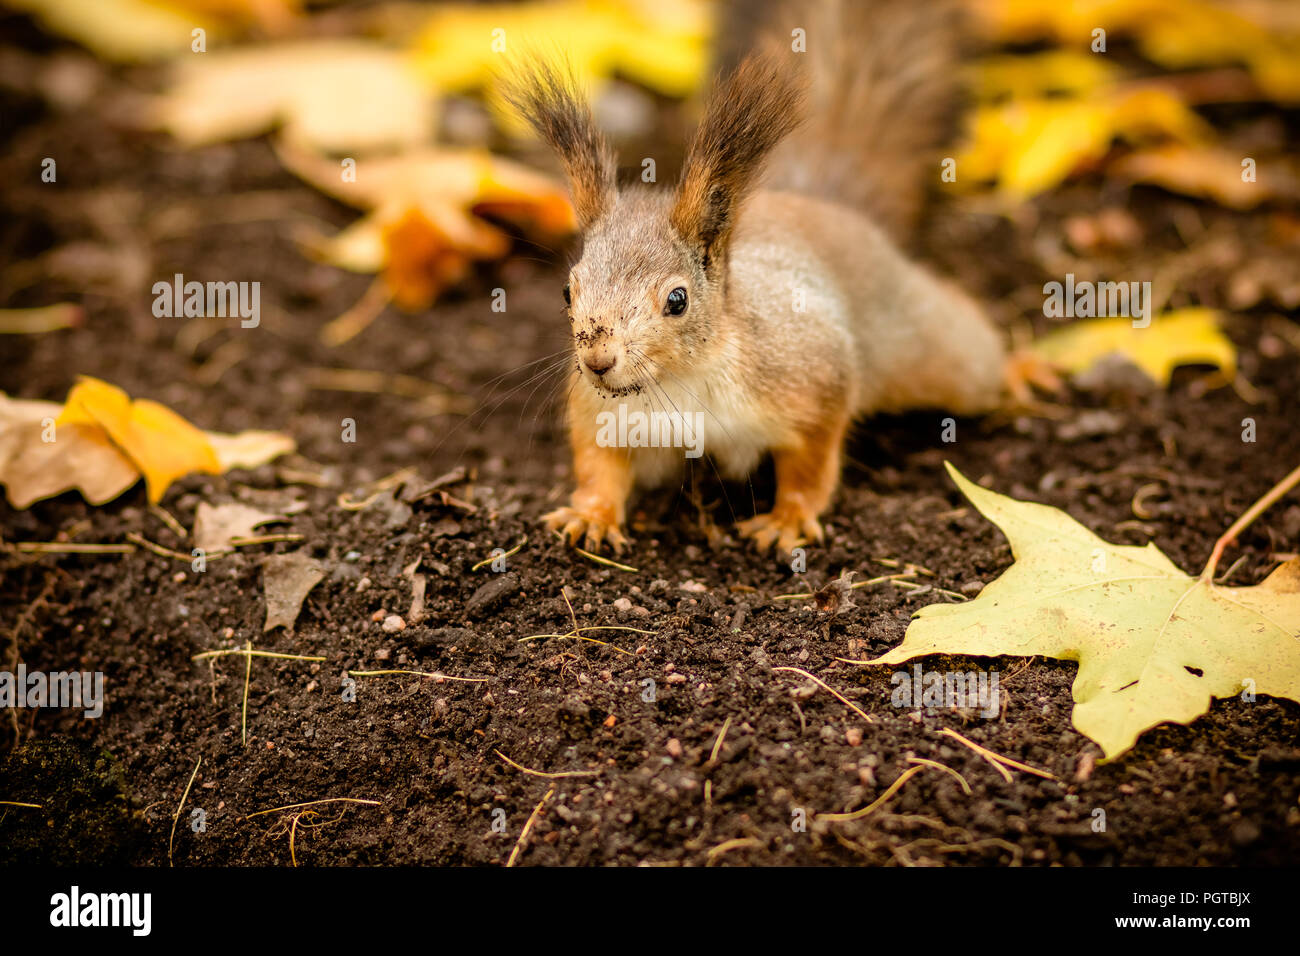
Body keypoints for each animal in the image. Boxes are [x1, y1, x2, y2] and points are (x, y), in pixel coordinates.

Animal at [509, 0, 1025, 555]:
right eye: (568, 290)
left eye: (677, 300)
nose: (598, 361)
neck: (679, 382)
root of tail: (824, 206)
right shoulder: (599, 412)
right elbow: (598, 465)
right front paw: (591, 514)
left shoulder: (813, 377)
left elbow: (811, 462)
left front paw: (789, 519)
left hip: (936, 350)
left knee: (968, 346)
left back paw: (1022, 368)